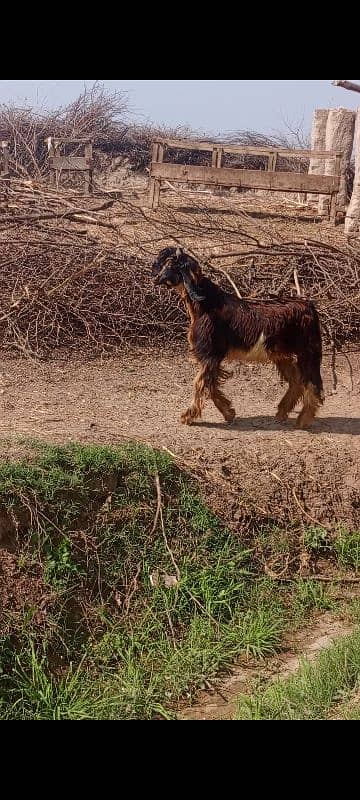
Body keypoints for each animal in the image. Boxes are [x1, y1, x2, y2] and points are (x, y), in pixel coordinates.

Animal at [150, 247, 324, 428]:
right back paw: (281, 413)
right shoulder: (212, 358)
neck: (207, 305)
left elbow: (200, 383)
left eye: (172, 264)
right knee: (296, 382)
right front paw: (229, 413)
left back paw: (303, 420)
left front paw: (187, 417)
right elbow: (211, 385)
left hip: (307, 351)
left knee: (312, 383)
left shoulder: (210, 354)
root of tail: (309, 307)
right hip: (281, 354)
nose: (156, 278)